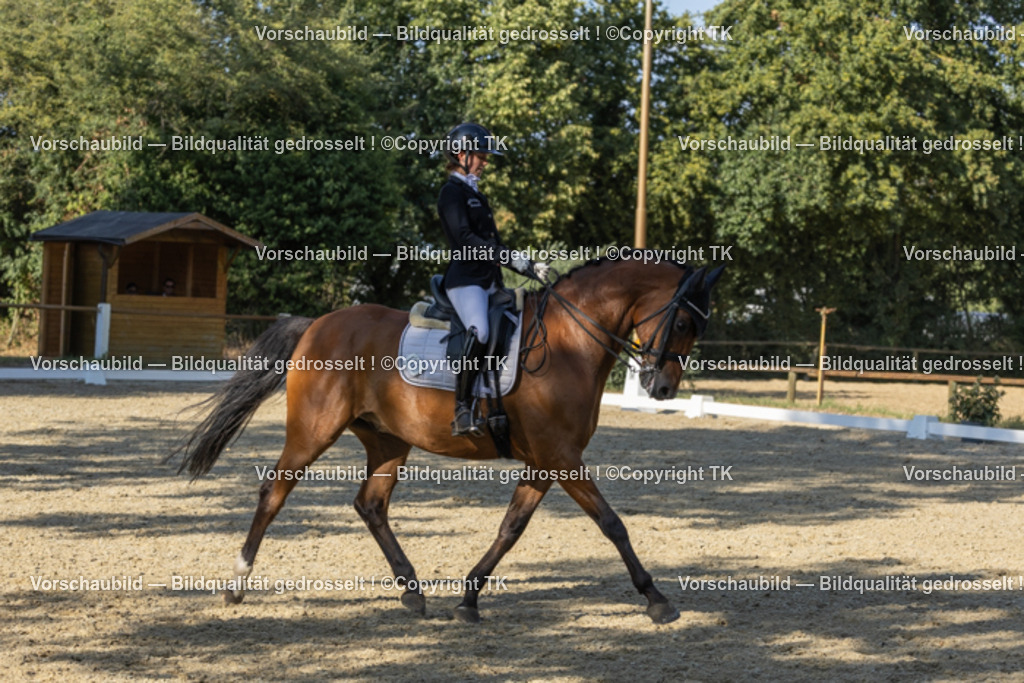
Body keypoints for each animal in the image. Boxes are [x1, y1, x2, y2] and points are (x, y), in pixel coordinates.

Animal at [173, 257, 724, 624]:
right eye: (681, 320)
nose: (662, 388)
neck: (571, 342)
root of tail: (316, 325)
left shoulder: (546, 462)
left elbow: (511, 528)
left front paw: (469, 597)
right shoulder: (562, 458)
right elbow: (613, 524)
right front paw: (656, 599)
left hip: (388, 441)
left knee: (371, 504)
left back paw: (413, 590)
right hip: (313, 431)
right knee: (274, 492)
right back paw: (236, 584)